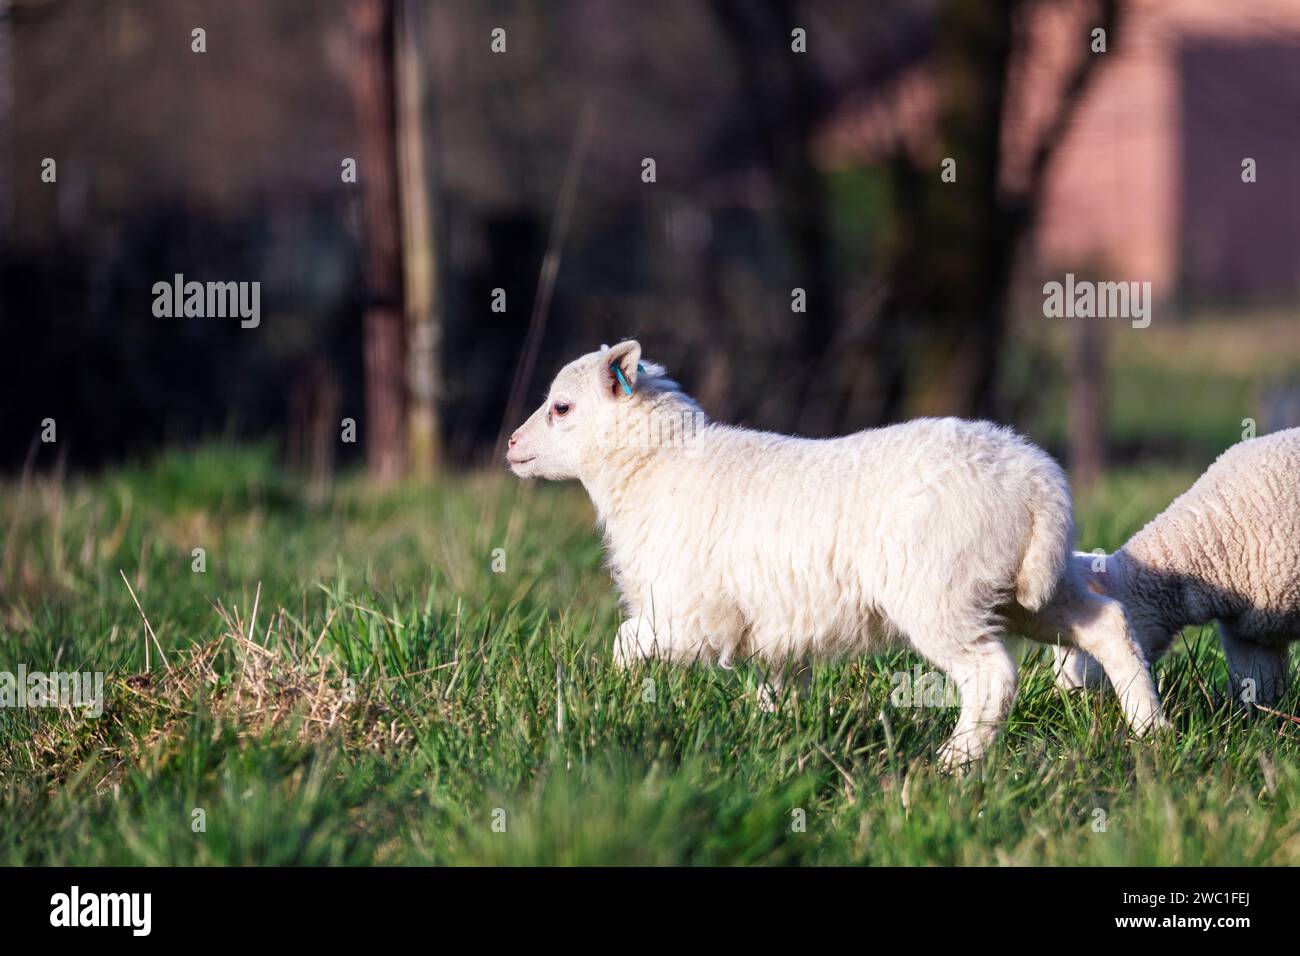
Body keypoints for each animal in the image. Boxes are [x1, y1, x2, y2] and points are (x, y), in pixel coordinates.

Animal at [506, 340, 1170, 764]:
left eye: (561, 407)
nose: (511, 445)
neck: (655, 468)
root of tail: (1038, 483)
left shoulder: (692, 615)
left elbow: (626, 642)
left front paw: (615, 698)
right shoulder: (767, 624)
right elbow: (774, 688)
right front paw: (774, 740)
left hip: (940, 593)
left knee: (991, 675)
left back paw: (955, 761)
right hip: (1026, 587)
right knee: (1107, 623)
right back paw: (1150, 730)